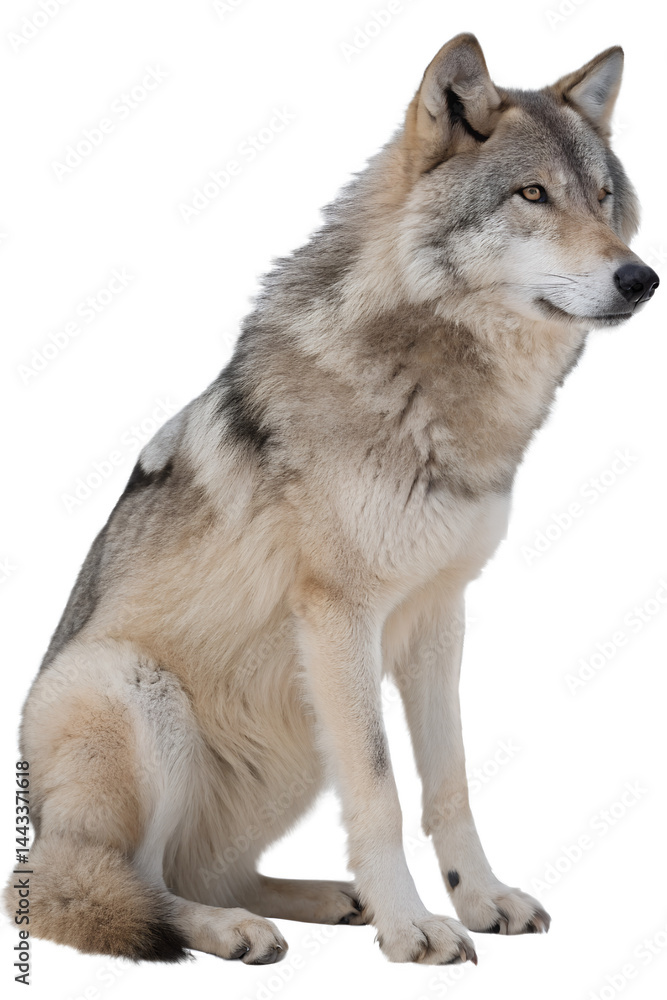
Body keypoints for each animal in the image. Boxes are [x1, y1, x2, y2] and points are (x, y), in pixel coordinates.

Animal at [5, 34, 658, 967]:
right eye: (532, 194)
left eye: (603, 198)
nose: (639, 278)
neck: (437, 390)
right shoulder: (340, 615)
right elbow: (382, 790)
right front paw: (412, 927)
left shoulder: (437, 614)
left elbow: (449, 781)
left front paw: (478, 899)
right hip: (136, 693)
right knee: (119, 887)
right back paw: (230, 930)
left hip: (297, 737)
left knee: (212, 869)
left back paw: (318, 900)